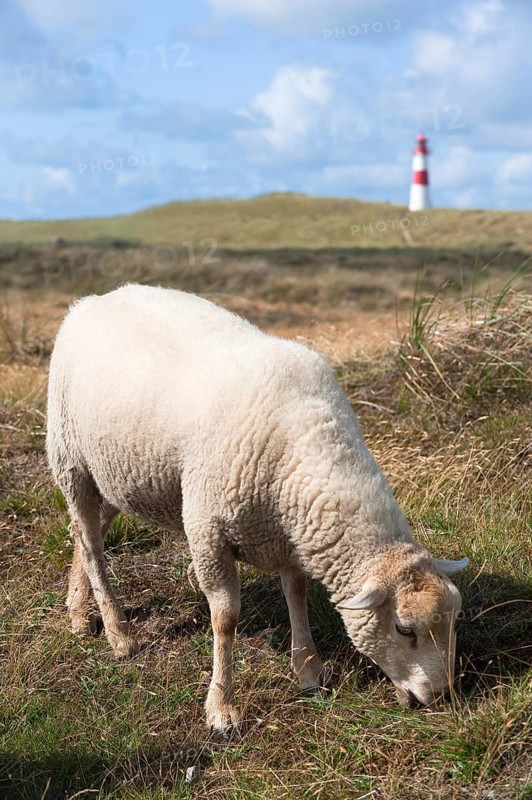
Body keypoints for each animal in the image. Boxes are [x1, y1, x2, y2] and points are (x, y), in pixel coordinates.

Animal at [46, 284, 469, 733]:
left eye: (454, 619)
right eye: (404, 629)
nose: (442, 696)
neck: (305, 441)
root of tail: (95, 299)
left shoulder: (291, 534)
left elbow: (296, 593)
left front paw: (308, 669)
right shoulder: (208, 531)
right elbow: (225, 619)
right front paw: (222, 707)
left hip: (122, 476)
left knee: (85, 531)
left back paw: (78, 613)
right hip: (71, 459)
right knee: (90, 541)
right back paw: (118, 633)